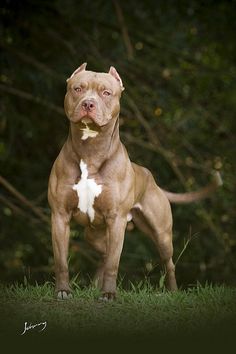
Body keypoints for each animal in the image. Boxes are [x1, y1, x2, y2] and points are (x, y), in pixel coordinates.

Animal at [47, 63, 221, 298]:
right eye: (78, 89)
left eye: (106, 93)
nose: (88, 103)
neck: (90, 151)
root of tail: (149, 177)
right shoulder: (59, 216)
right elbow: (62, 261)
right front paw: (63, 290)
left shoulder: (116, 220)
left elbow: (114, 263)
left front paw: (109, 294)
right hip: (93, 234)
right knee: (104, 254)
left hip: (161, 234)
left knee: (168, 262)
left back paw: (172, 291)